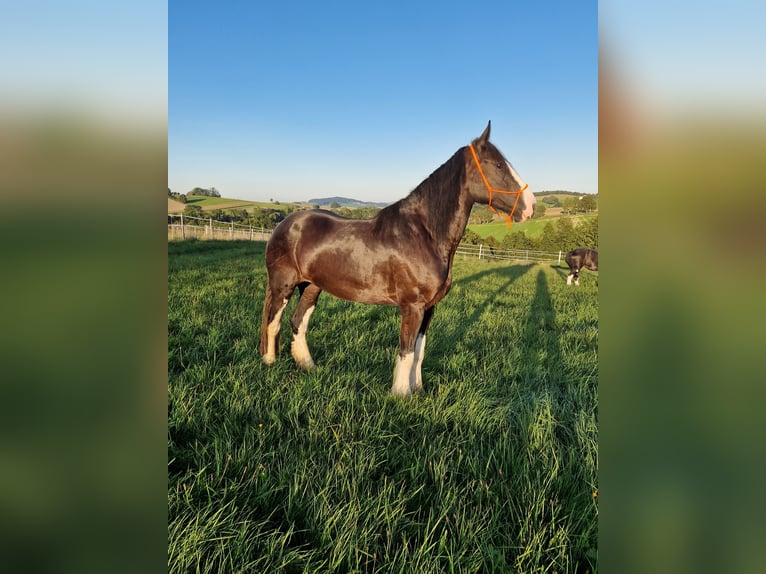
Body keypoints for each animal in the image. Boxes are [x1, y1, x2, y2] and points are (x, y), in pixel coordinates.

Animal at [258, 122, 536, 396]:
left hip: (312, 287)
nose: (531, 206)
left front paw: (418, 390)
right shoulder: (412, 306)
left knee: (297, 322)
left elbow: (419, 351)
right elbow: (406, 351)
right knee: (273, 322)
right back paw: (269, 363)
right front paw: (401, 395)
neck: (424, 234)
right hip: (283, 285)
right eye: (498, 165)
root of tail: (285, 224)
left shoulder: (429, 308)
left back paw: (308, 366)